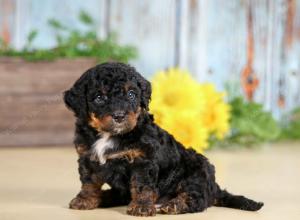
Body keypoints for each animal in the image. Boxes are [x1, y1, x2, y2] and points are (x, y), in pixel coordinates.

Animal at [63, 62, 262, 217]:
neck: (109, 134)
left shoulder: (143, 160)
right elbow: (89, 182)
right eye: (99, 98)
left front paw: (141, 207)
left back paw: (173, 205)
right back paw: (105, 197)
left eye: (131, 94)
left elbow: (142, 185)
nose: (119, 116)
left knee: (197, 199)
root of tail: (214, 187)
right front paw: (84, 200)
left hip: (196, 172)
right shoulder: (87, 158)